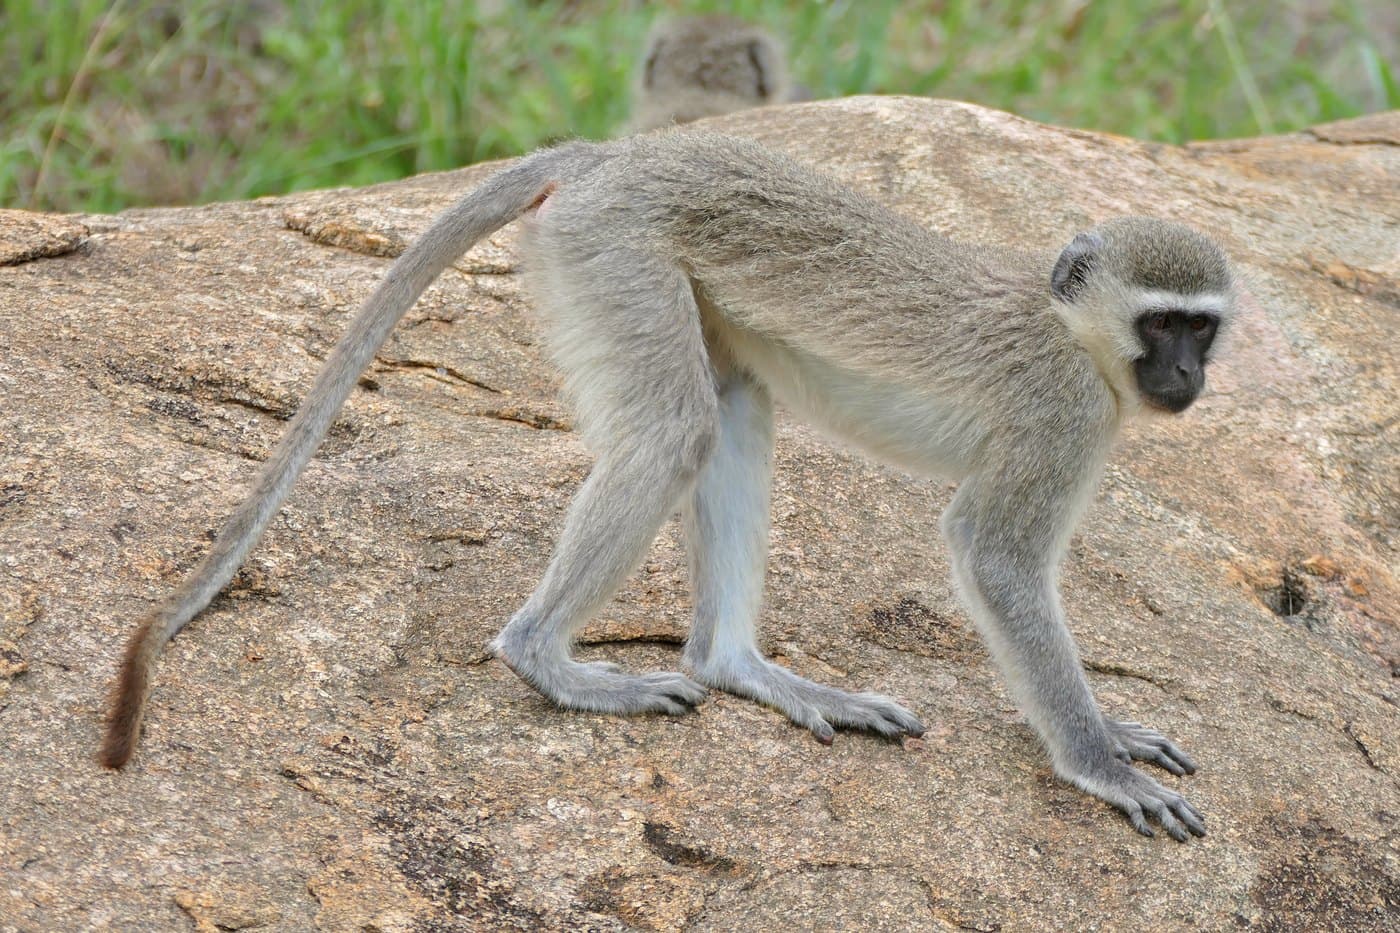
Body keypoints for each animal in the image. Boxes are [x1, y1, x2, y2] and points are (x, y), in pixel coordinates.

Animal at [103, 132, 1235, 843]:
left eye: (1202, 326)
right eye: (1161, 324)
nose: (1187, 378)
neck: (1072, 332)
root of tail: (617, 155)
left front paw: (1112, 726)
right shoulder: (1062, 415)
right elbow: (993, 559)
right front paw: (1101, 761)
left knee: (729, 412)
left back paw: (739, 667)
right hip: (614, 251)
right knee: (672, 433)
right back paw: (547, 660)